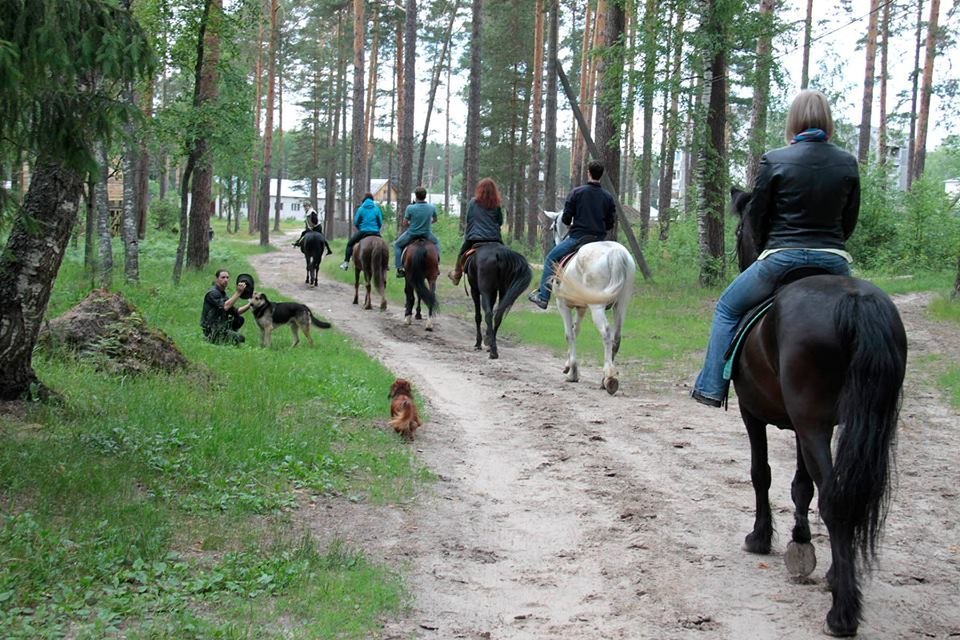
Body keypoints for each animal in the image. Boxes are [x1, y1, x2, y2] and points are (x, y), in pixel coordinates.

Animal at [544, 210, 632, 392]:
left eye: (553, 227)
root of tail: (614, 253)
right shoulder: (581, 308)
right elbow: (575, 331)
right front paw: (569, 366)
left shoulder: (562, 305)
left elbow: (569, 334)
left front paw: (572, 372)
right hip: (622, 304)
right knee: (616, 337)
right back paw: (605, 378)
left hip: (597, 307)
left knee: (606, 333)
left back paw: (610, 378)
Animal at [728, 189, 908, 636]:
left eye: (739, 231)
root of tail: (855, 302)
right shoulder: (803, 424)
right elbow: (800, 485)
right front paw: (801, 543)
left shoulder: (753, 413)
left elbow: (762, 474)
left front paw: (762, 538)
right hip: (858, 424)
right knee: (846, 495)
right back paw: (839, 579)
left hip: (812, 424)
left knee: (836, 501)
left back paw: (842, 613)